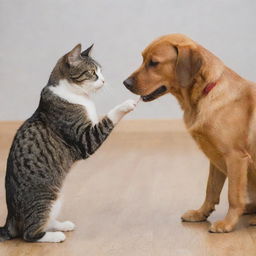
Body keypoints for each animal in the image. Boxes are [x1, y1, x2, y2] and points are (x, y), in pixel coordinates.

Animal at [0, 43, 137, 242]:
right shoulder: (85, 138)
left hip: (57, 199)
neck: (79, 96)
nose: (104, 81)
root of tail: (10, 218)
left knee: (45, 222)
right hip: (46, 198)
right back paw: (55, 236)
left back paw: (62, 225)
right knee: (29, 234)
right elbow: (108, 118)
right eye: (92, 73)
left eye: (101, 71)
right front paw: (126, 104)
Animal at [124, 33, 256, 232]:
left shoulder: (235, 157)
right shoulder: (215, 158)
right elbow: (211, 190)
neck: (203, 94)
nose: (125, 83)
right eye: (143, 59)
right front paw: (201, 213)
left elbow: (233, 195)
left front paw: (227, 223)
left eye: (154, 63)